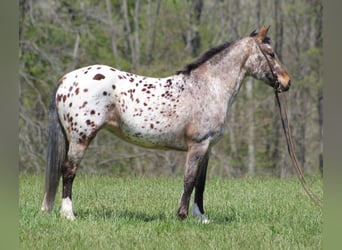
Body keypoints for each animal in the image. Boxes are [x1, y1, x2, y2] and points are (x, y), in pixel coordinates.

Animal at [40, 27, 292, 223]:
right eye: (271, 53)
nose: (287, 82)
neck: (208, 87)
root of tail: (66, 80)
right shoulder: (198, 145)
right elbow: (189, 180)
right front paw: (182, 215)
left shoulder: (207, 147)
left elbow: (200, 183)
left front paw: (201, 217)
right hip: (81, 138)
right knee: (68, 170)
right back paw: (68, 214)